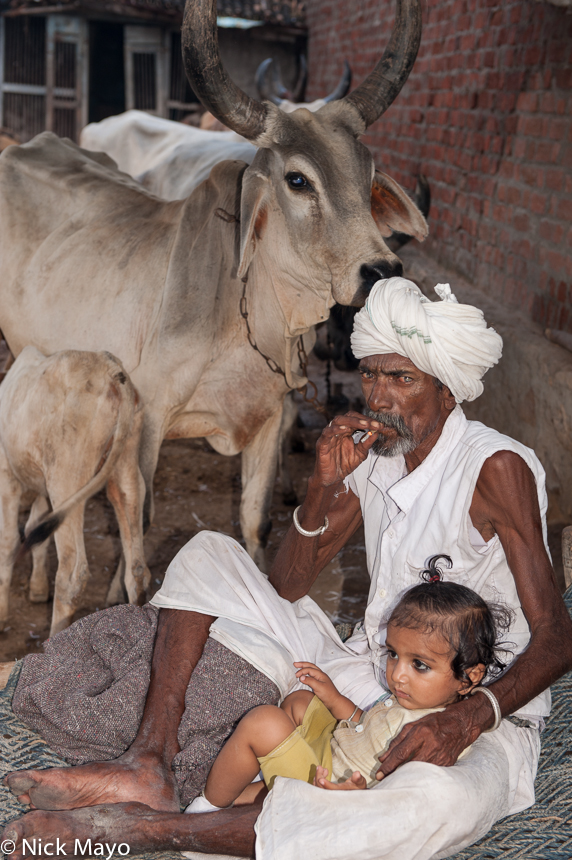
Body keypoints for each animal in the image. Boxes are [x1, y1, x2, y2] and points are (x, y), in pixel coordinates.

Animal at [0, 346, 150, 636]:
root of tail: (112, 371)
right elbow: (35, 529)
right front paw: (37, 589)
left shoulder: (7, 475)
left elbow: (8, 541)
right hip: (125, 468)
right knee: (137, 568)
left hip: (67, 481)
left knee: (72, 575)